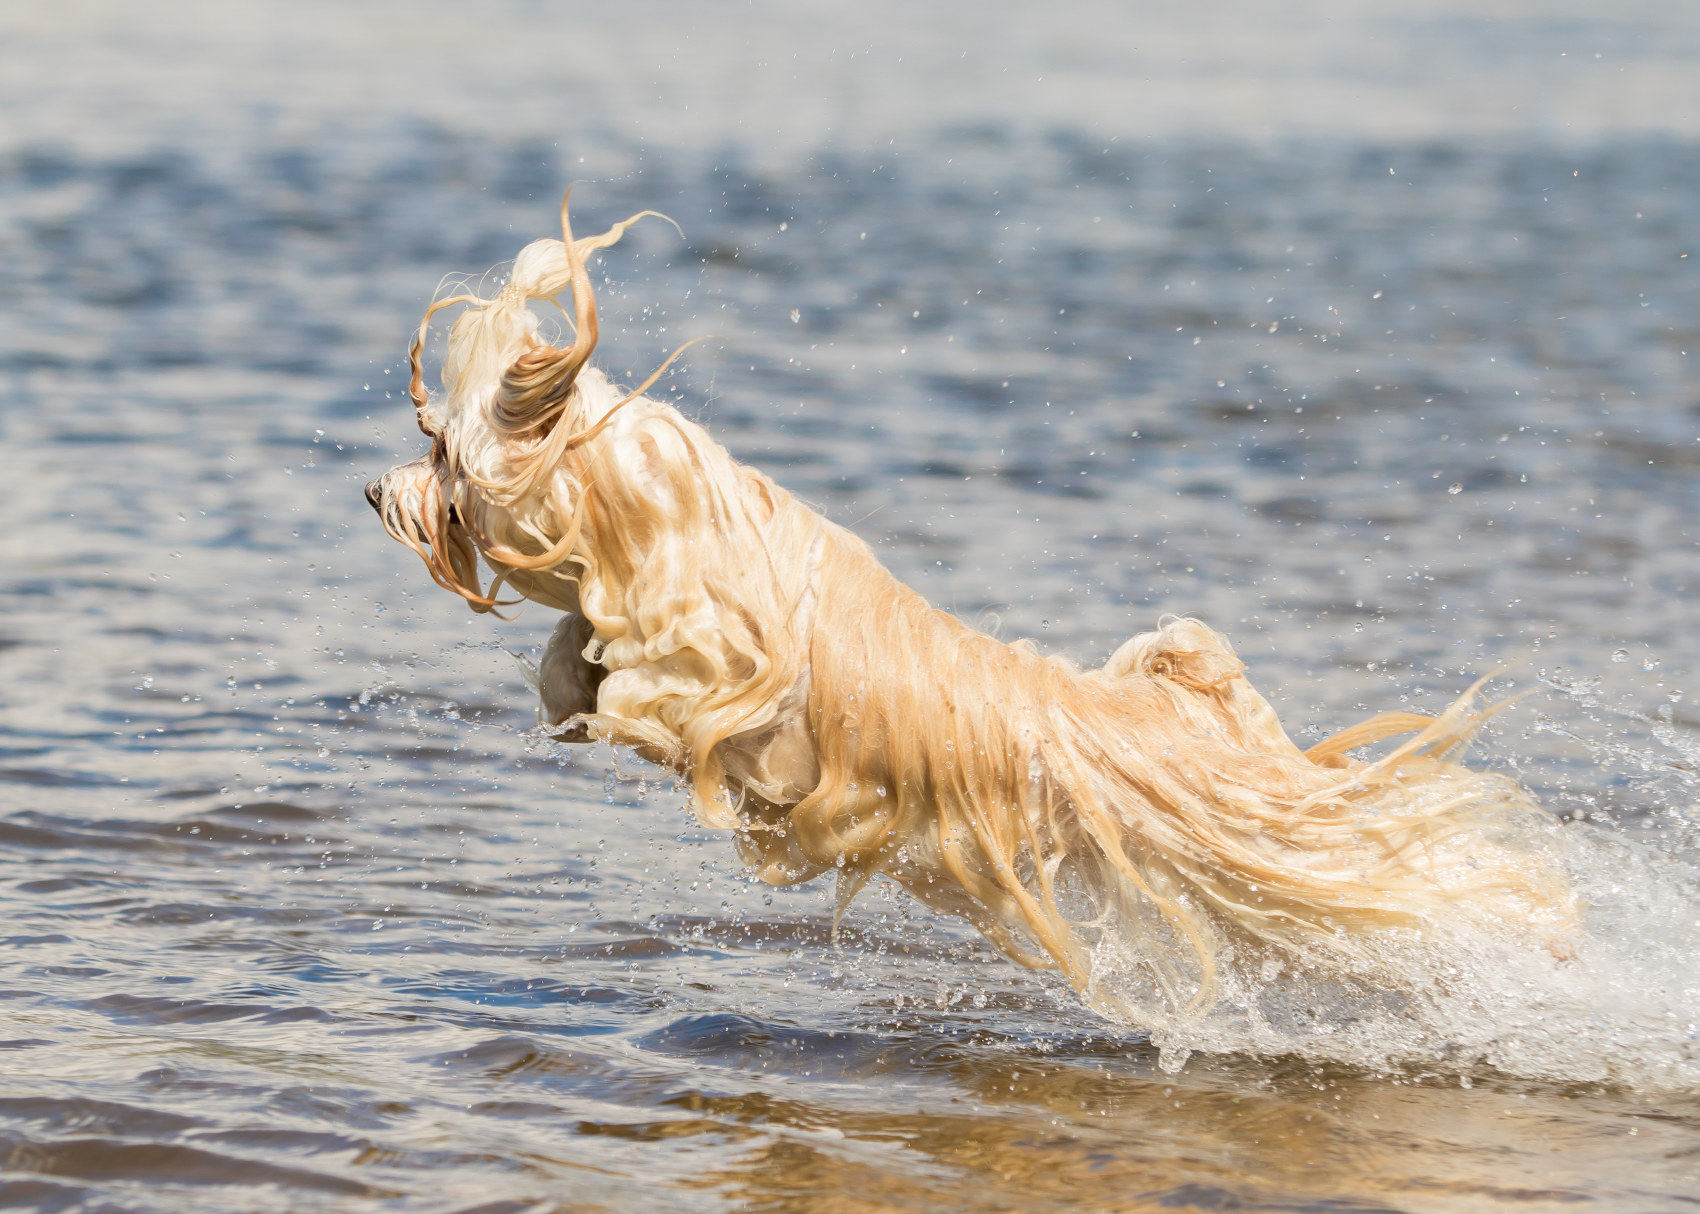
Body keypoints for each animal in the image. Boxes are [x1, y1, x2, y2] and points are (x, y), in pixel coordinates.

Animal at [365, 196, 1570, 1020]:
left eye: (442, 452)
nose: (376, 492)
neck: (651, 507)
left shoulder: (717, 665)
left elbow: (656, 694)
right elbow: (576, 654)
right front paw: (571, 682)